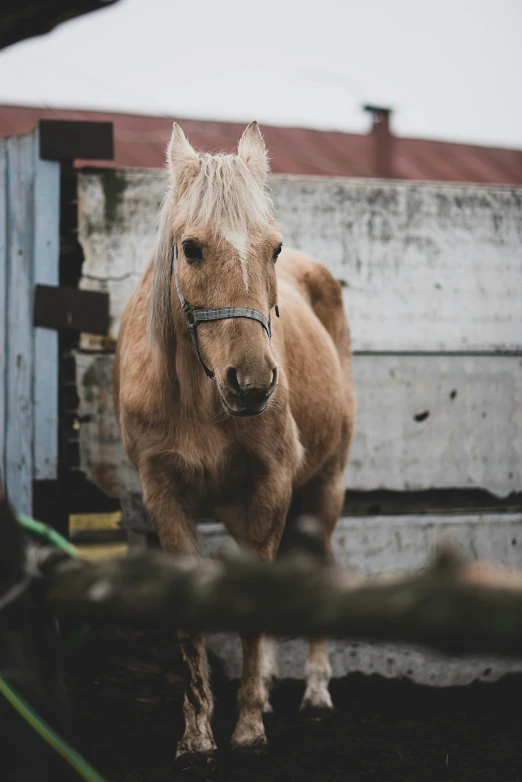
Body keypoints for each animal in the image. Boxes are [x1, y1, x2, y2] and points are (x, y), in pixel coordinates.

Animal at [115, 121, 354, 760]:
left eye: (274, 248)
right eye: (191, 247)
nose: (253, 383)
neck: (198, 397)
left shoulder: (274, 483)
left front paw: (247, 729)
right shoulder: (163, 494)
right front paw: (198, 735)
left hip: (325, 488)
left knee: (320, 566)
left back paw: (315, 690)